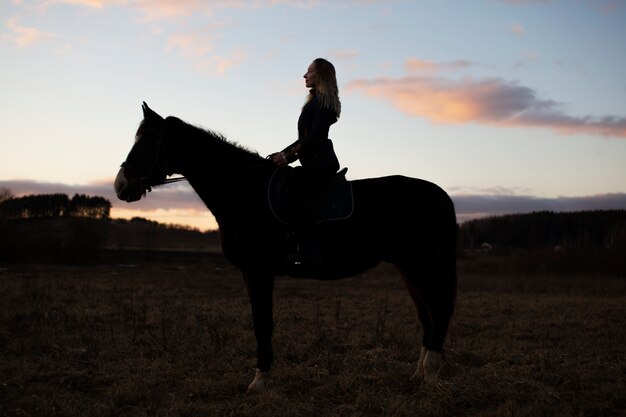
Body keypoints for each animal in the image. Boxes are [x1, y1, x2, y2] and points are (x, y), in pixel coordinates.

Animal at [114, 101, 456, 390]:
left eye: (146, 142)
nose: (121, 186)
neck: (243, 190)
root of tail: (439, 194)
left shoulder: (258, 272)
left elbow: (262, 323)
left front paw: (259, 381)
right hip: (408, 267)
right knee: (426, 316)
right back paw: (418, 374)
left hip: (421, 266)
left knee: (438, 311)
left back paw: (431, 376)